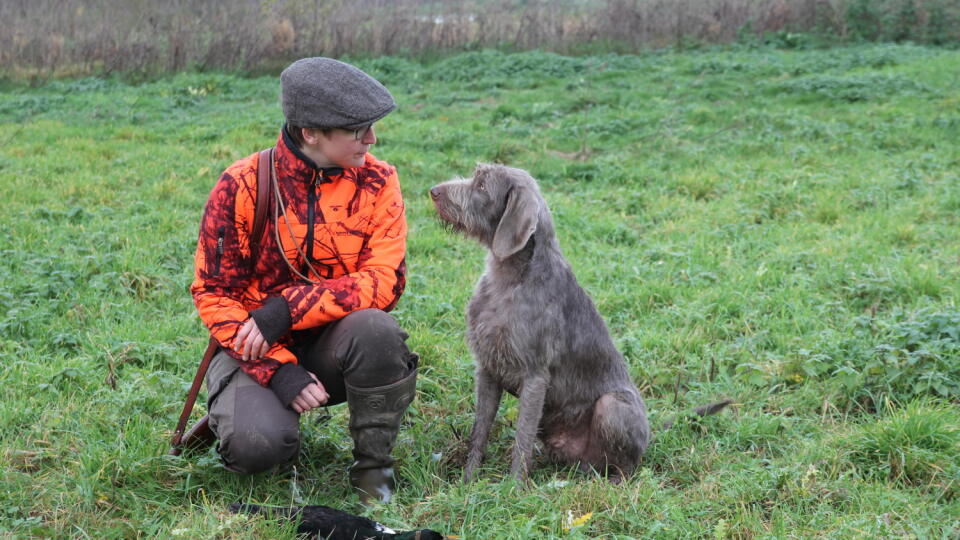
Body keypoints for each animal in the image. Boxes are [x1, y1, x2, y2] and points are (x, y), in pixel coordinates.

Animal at [432, 162, 732, 484]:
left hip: (612, 406)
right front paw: (468, 480)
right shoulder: (487, 368)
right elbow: (480, 430)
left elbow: (521, 438)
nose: (433, 191)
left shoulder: (534, 375)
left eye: (482, 186)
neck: (510, 279)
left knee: (627, 465)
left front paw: (513, 487)